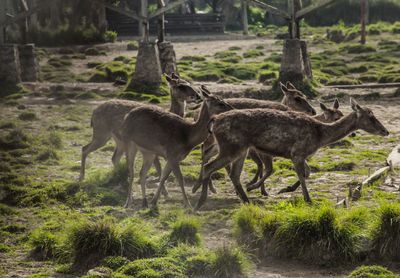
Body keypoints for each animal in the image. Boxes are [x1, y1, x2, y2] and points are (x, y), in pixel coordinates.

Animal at [195, 99, 390, 210]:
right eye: (370, 117)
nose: (386, 131)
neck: (320, 135)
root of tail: (214, 121)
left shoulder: (300, 155)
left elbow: (307, 172)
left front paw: (287, 190)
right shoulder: (297, 152)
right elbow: (303, 175)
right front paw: (308, 199)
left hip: (240, 149)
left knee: (233, 174)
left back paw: (246, 199)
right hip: (231, 146)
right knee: (209, 166)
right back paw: (201, 200)